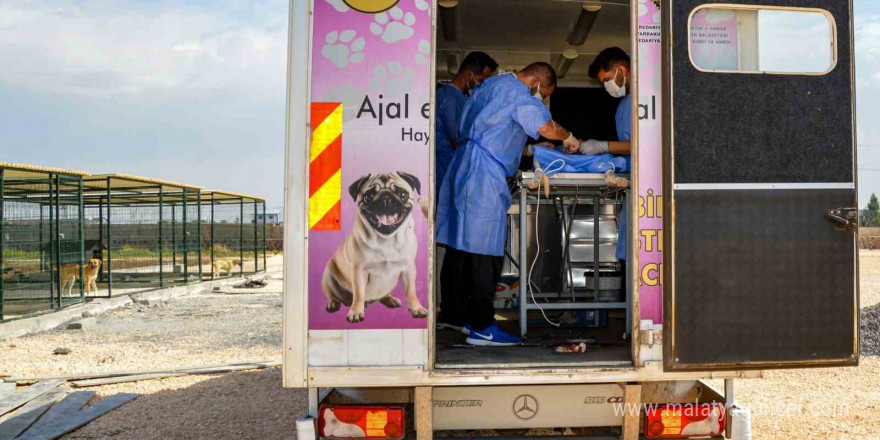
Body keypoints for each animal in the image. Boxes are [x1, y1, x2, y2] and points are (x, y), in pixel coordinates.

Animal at [324, 172, 432, 324]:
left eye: (402, 193)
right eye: (369, 195)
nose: (386, 197)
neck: (387, 239)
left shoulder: (408, 268)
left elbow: (411, 291)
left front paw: (416, 308)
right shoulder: (358, 269)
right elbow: (359, 293)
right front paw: (356, 312)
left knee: (384, 295)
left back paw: (390, 299)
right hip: (328, 276)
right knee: (333, 294)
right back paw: (334, 303)